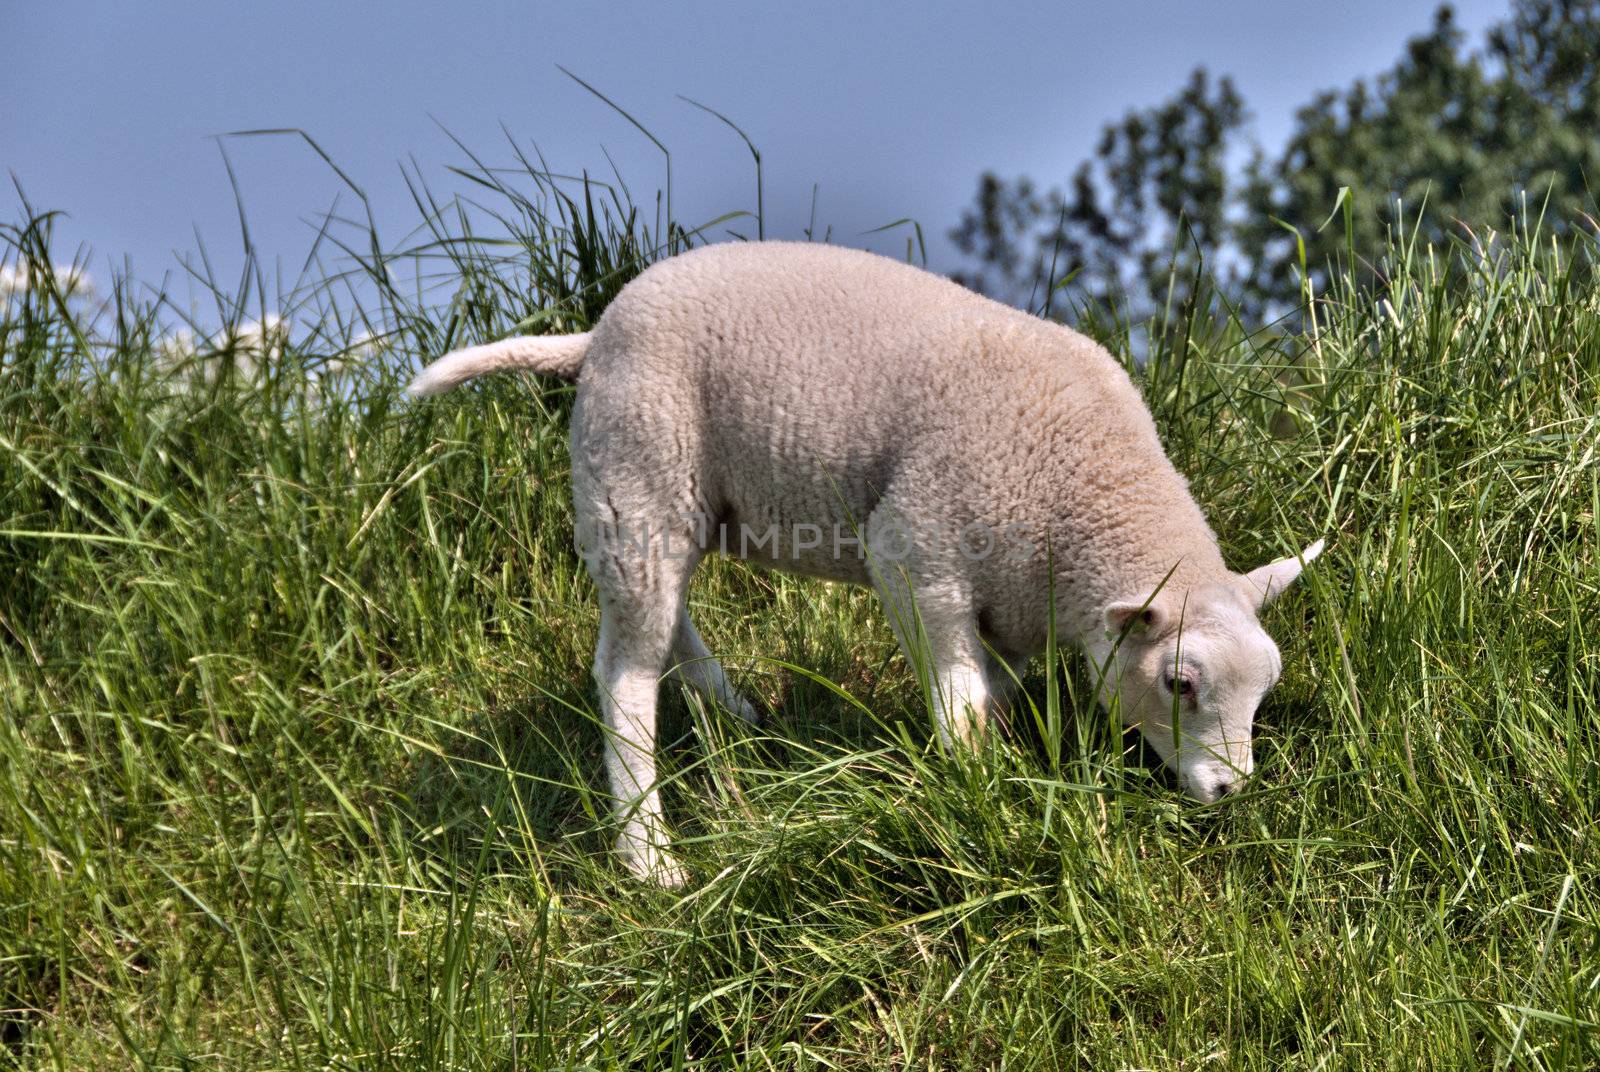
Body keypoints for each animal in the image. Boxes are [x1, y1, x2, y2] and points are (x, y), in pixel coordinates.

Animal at [406, 243, 1318, 889]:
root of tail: (594, 335)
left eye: (1265, 690)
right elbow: (958, 698)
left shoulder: (1011, 600)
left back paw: (732, 709)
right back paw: (650, 856)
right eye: (1180, 682)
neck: (1082, 492)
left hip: (670, 502)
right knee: (623, 673)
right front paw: (976, 788)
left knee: (663, 619)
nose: (1231, 794)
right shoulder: (919, 553)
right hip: (637, 467)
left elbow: (995, 685)